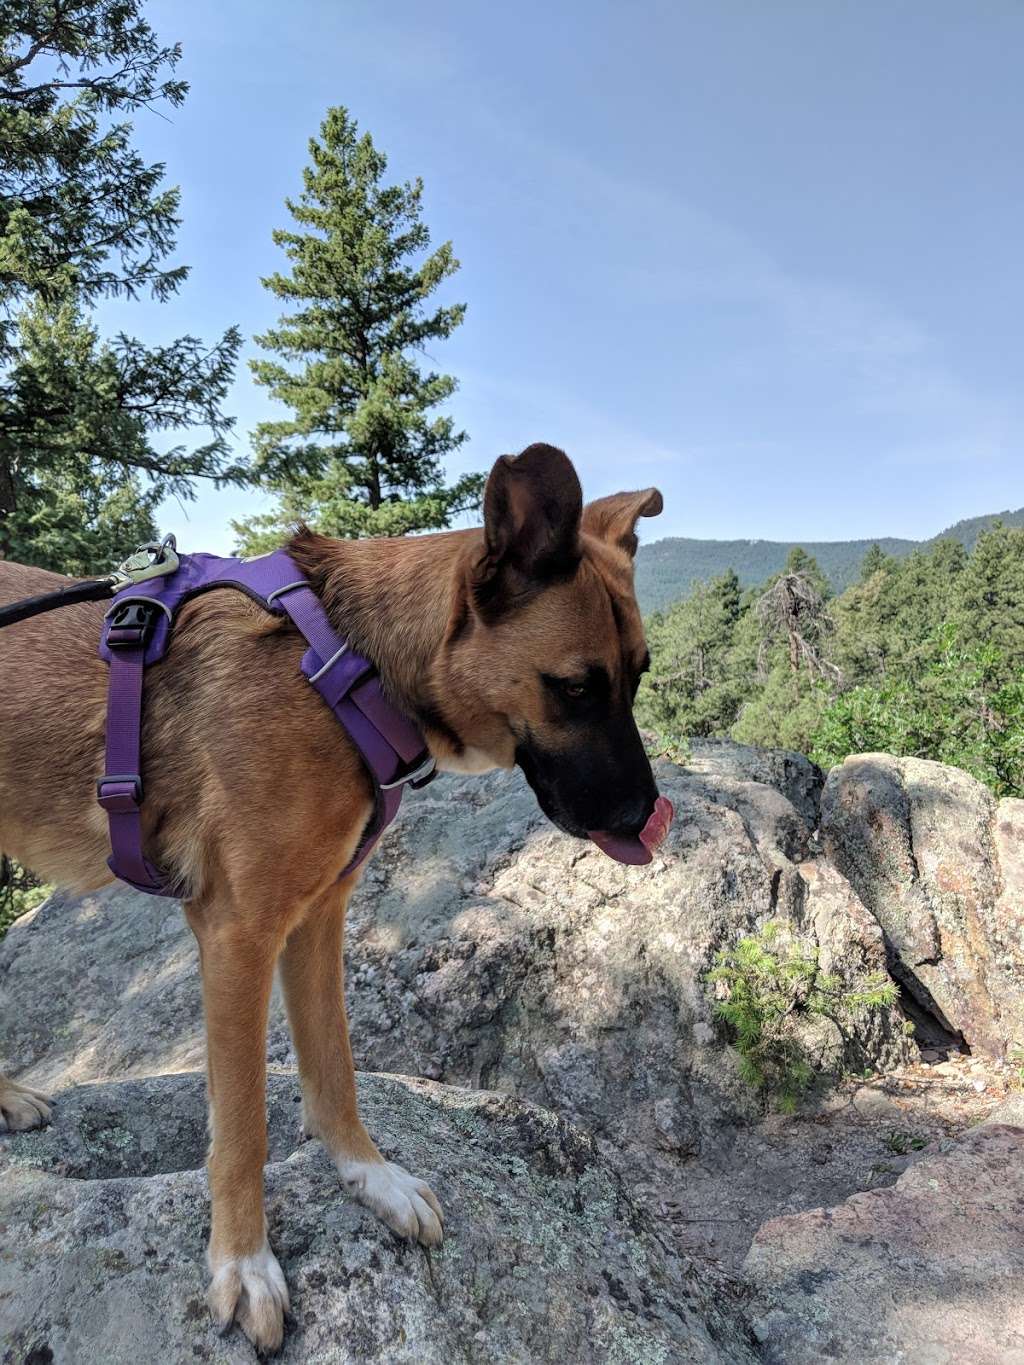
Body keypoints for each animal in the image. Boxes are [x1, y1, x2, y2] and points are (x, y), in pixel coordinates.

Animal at [0, 442, 669, 1348]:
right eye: (575, 688)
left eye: (637, 677)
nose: (647, 819)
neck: (347, 668)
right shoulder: (239, 934)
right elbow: (243, 1124)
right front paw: (243, 1261)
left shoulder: (317, 917)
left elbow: (335, 1067)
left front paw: (368, 1176)